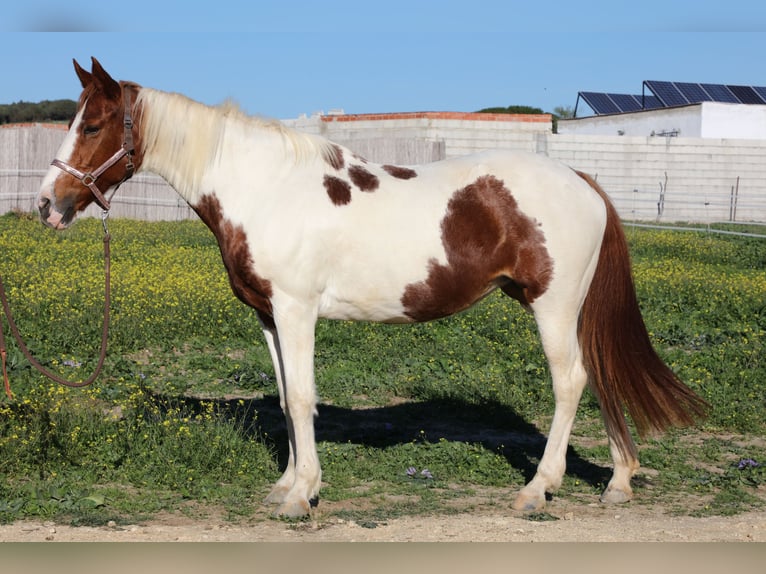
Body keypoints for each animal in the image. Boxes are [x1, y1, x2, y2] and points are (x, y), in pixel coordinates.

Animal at [37, 59, 708, 520]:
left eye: (92, 125)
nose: (48, 204)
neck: (262, 187)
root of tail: (581, 178)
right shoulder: (268, 317)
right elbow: (287, 398)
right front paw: (288, 484)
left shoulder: (296, 310)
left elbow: (301, 398)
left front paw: (302, 496)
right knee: (597, 374)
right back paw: (618, 480)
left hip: (553, 305)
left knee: (570, 383)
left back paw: (538, 488)